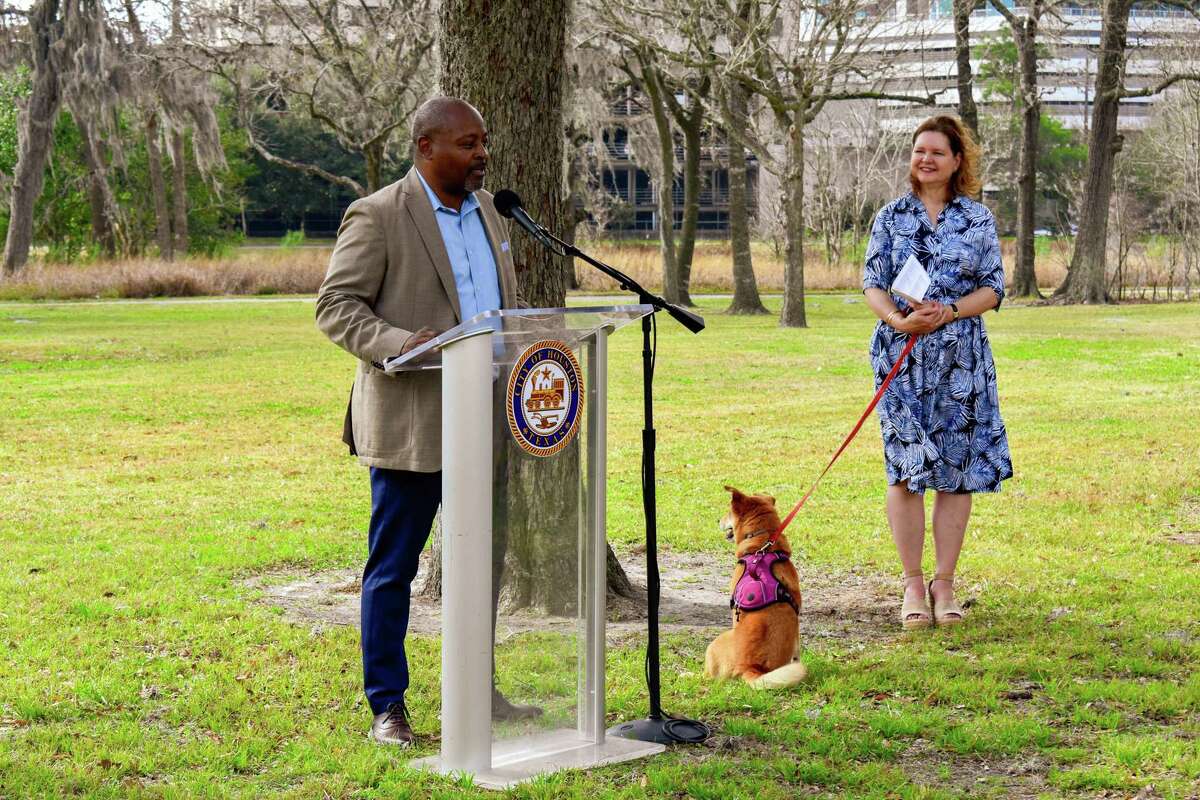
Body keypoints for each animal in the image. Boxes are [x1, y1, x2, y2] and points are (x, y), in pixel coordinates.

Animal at [700, 484, 806, 690]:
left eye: (728, 511)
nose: (717, 520)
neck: (763, 543)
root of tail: (750, 667)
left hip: (715, 643)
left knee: (707, 677)